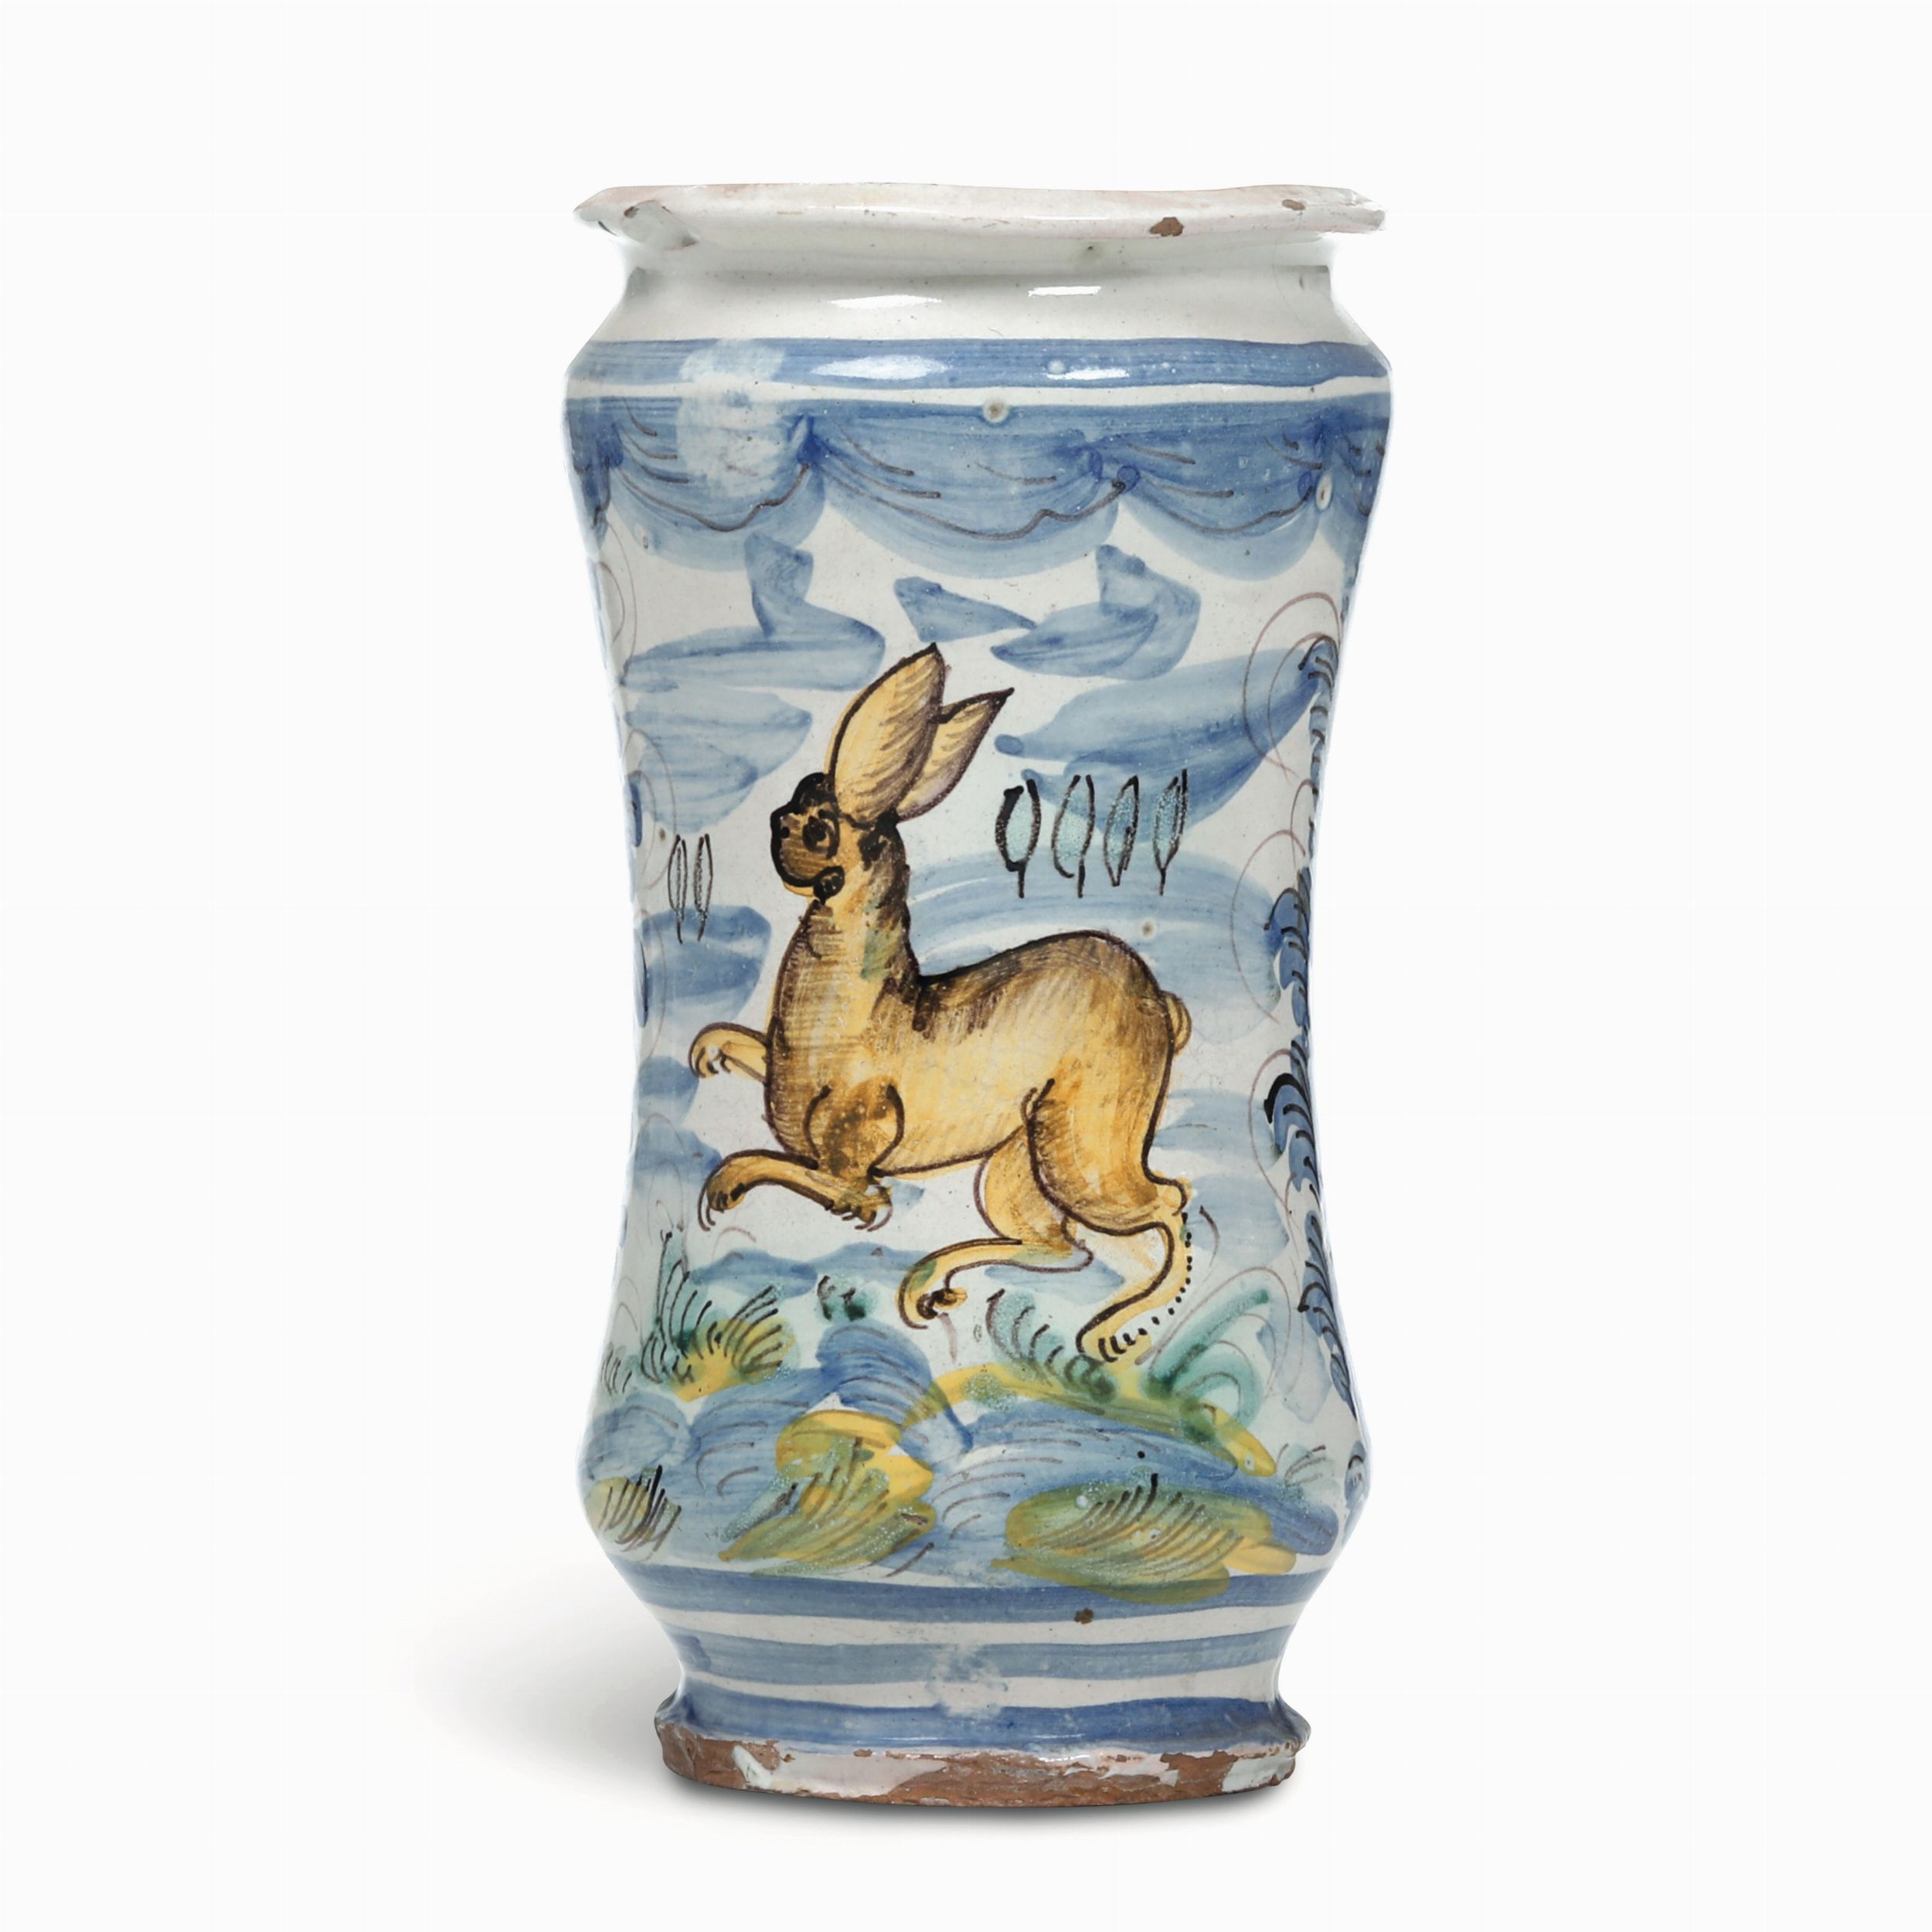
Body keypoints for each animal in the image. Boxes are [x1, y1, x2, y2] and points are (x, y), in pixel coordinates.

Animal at [688, 646, 1193, 1363]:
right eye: (790, 808)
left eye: (818, 829)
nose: (773, 829)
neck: (847, 1015)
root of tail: (1163, 1005)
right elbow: (748, 1051)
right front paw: (709, 1051)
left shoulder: (855, 1150)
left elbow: (826, 1182)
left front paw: (725, 1185)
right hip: (1021, 1157)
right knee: (1060, 1244)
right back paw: (930, 1281)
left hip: (1082, 1149)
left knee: (1167, 1203)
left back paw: (1108, 1329)